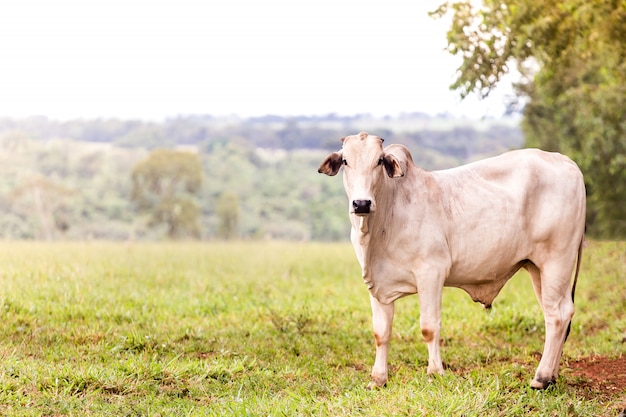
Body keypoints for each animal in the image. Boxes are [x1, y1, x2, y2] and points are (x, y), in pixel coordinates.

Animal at [316, 131, 584, 390]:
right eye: (346, 161)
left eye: (379, 161)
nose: (361, 203)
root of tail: (568, 162)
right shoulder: (377, 283)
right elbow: (381, 333)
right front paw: (378, 379)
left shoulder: (431, 272)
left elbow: (428, 327)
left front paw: (435, 373)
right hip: (537, 267)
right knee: (555, 314)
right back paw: (552, 376)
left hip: (556, 261)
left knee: (558, 315)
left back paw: (541, 378)